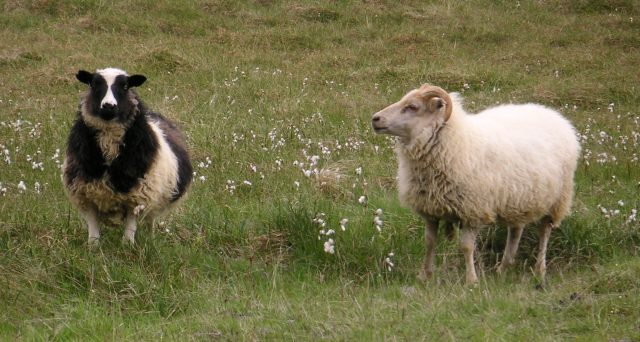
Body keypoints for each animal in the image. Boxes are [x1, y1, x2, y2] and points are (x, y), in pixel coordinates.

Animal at [372, 83, 584, 284]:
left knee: (544, 232)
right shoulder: (431, 210)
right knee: (515, 231)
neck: (456, 141)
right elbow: (429, 242)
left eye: (412, 107)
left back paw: (540, 269)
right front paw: (425, 276)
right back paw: (503, 268)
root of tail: (555, 115)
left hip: (558, 198)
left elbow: (466, 247)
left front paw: (471, 280)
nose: (375, 119)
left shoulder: (473, 210)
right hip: (519, 198)